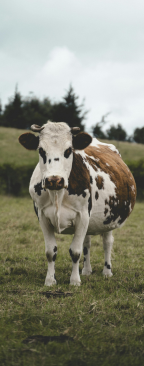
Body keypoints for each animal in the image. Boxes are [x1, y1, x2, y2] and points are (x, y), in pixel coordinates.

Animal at [18, 122, 136, 286]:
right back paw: (86, 271)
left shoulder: (83, 216)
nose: (54, 180)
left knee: (107, 242)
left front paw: (74, 281)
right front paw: (50, 280)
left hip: (109, 219)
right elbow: (50, 251)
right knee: (87, 242)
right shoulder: (42, 216)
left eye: (68, 150)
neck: (58, 194)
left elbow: (75, 251)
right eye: (41, 150)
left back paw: (107, 272)